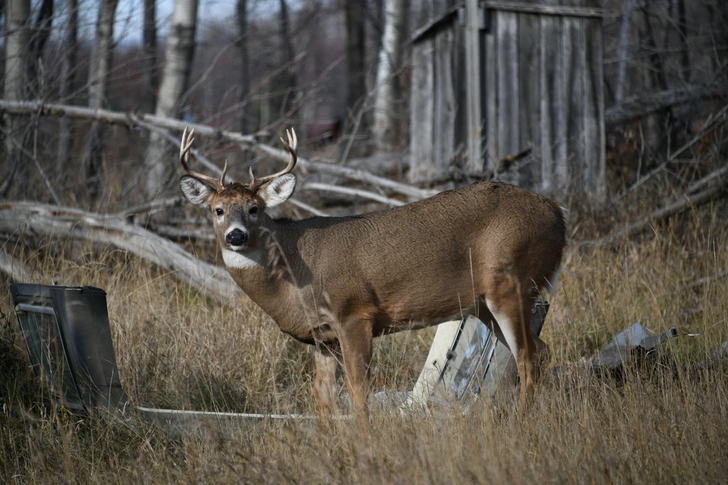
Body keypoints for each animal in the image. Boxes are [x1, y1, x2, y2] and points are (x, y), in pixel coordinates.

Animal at [178, 126, 568, 426]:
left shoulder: (355, 314)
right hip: (484, 306)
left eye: (254, 209)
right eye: (218, 210)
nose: (236, 236)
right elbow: (322, 396)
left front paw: (364, 443)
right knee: (540, 350)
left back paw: (520, 426)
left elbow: (357, 391)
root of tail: (558, 212)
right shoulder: (323, 338)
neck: (293, 277)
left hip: (512, 281)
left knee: (528, 356)